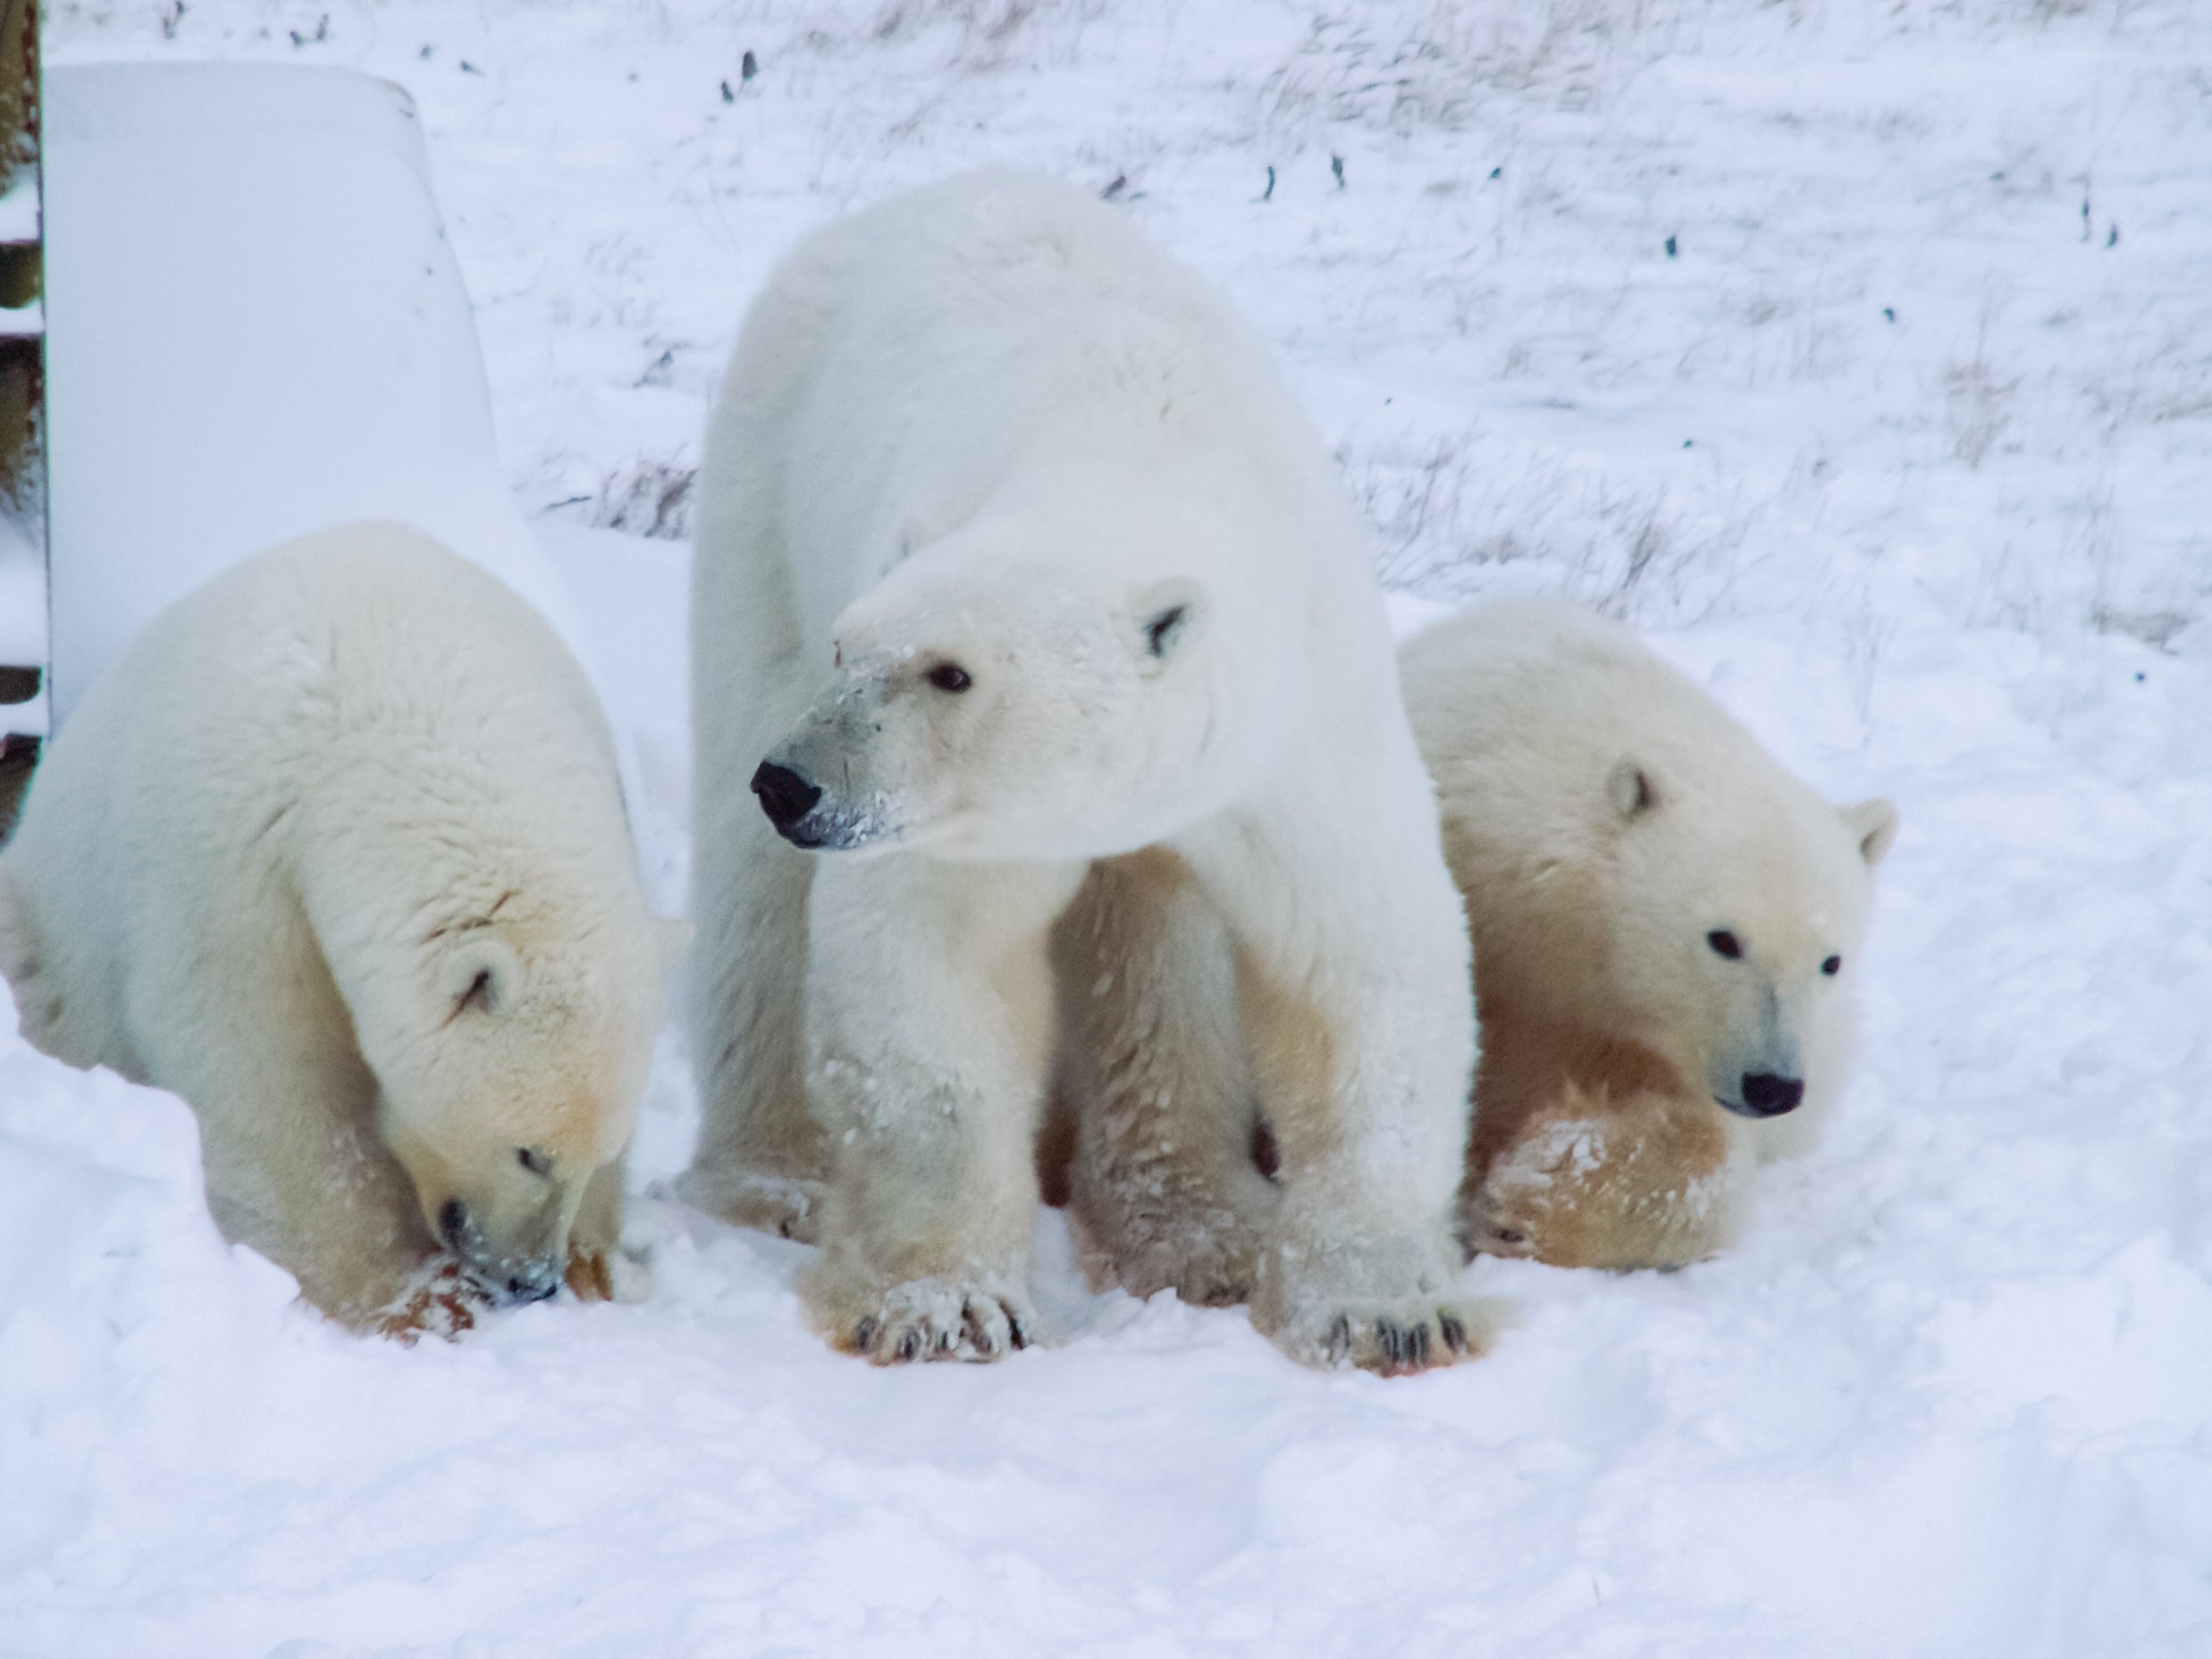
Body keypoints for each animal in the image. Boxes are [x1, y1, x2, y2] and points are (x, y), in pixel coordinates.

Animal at [2, 526, 672, 1335]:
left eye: (595, 1152)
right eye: (527, 1153)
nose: (532, 1279)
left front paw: (597, 1265)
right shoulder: (234, 876)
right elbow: (271, 1081)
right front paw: (409, 1302)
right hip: (52, 945)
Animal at [685, 169, 1486, 1380]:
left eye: (951, 672)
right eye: (848, 648)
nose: (793, 784)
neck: (1145, 456)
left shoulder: (1296, 728)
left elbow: (1358, 966)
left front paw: (1388, 1312)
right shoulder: (959, 821)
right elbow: (931, 976)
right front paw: (949, 1306)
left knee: (1154, 953)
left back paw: (1201, 1228)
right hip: (764, 494)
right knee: (760, 898)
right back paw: (774, 1178)